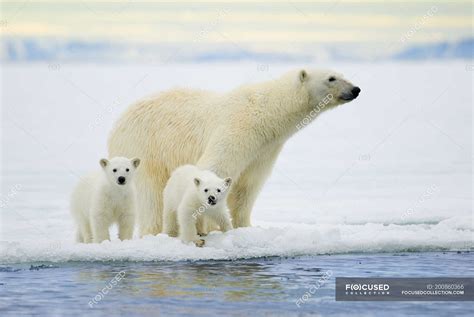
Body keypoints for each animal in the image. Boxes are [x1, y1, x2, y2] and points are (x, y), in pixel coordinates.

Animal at [108, 69, 360, 237]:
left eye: (343, 74)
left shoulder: (264, 149)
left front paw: (246, 227)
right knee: (151, 194)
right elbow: (216, 166)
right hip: (145, 145)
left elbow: (248, 186)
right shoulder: (237, 127)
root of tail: (118, 122)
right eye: (331, 78)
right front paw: (209, 227)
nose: (355, 89)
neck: (267, 114)